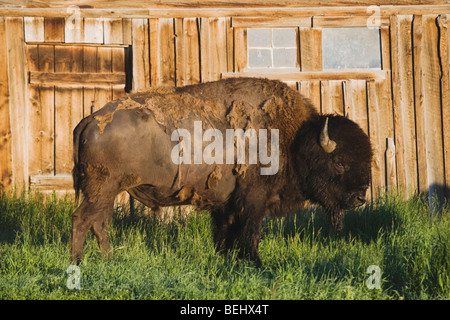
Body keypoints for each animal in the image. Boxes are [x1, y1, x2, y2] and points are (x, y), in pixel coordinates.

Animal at [71, 77, 372, 264]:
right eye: (340, 162)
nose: (360, 198)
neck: (294, 139)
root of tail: (90, 119)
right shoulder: (252, 202)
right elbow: (250, 233)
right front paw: (256, 263)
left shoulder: (226, 204)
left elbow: (225, 234)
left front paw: (226, 260)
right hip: (102, 189)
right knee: (83, 219)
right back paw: (77, 262)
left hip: (106, 192)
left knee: (99, 222)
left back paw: (108, 259)